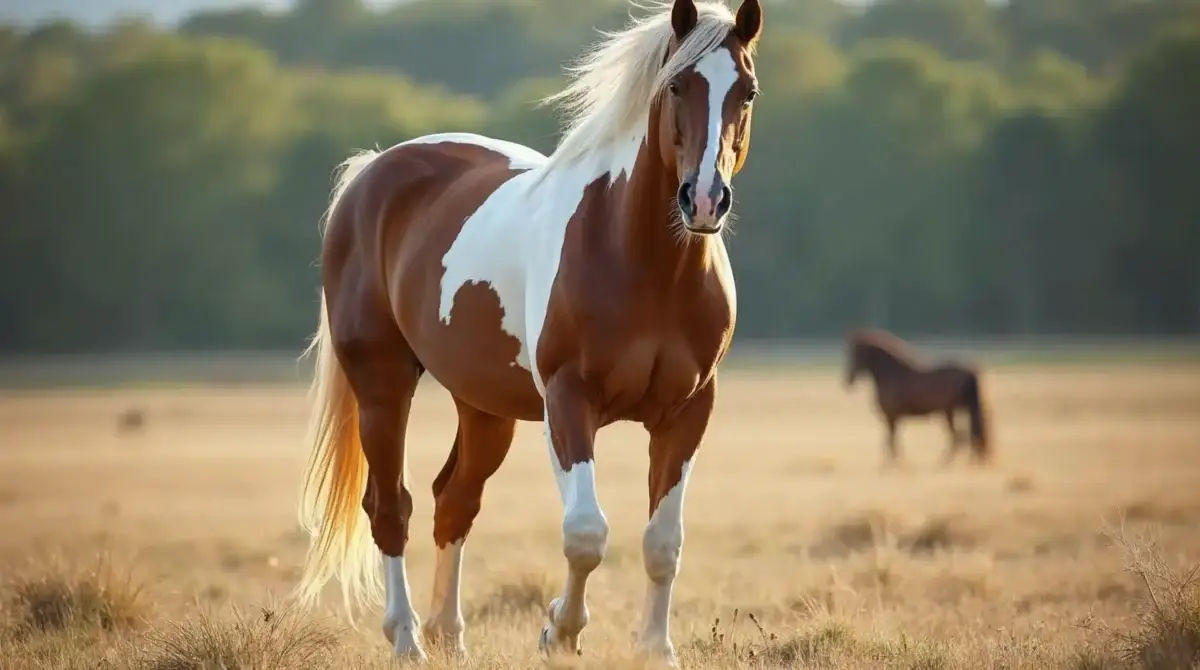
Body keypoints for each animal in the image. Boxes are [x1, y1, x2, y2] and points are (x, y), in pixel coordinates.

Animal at [291, 1, 764, 665]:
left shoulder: (688, 410)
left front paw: (655, 648)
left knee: (453, 501)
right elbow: (586, 533)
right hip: (383, 388)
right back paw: (408, 639)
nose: (703, 200)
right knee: (391, 509)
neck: (643, 261)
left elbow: (662, 541)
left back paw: (450, 637)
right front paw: (559, 631)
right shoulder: (569, 401)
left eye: (746, 91)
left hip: (484, 408)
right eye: (677, 85)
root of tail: (371, 172)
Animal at [843, 328, 992, 466]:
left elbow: (891, 442)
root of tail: (970, 372)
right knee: (969, 436)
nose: (848, 380)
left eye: (856, 353)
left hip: (949, 412)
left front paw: (890, 466)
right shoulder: (894, 419)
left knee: (960, 438)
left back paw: (944, 465)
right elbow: (893, 442)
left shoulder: (891, 417)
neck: (891, 373)